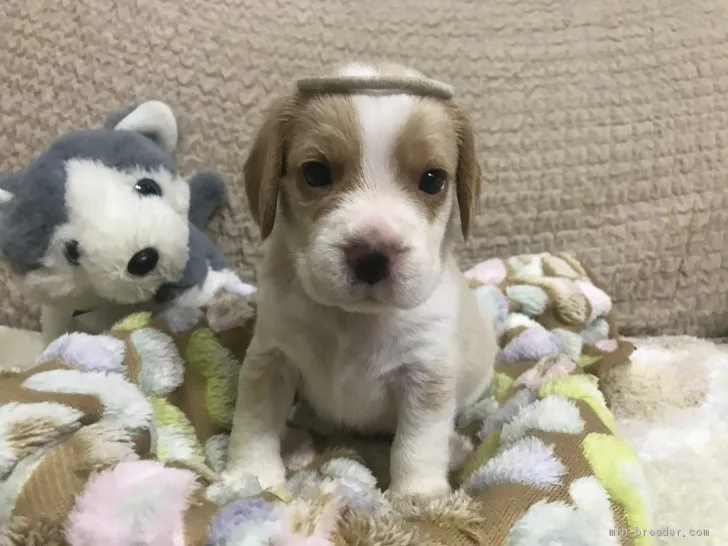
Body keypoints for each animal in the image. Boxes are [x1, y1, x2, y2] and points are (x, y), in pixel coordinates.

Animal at [226, 63, 500, 498]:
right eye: (316, 173)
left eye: (432, 180)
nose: (372, 255)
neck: (352, 320)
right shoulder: (272, 357)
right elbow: (255, 420)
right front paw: (250, 477)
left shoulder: (426, 376)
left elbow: (417, 443)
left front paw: (417, 496)